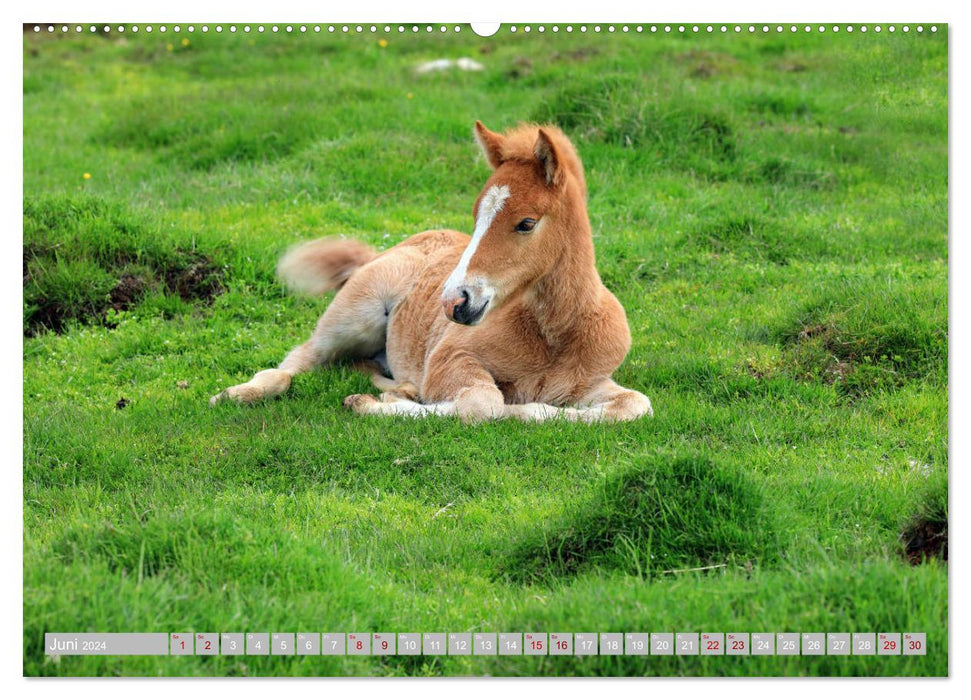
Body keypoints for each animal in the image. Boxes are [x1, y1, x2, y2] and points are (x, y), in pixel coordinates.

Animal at [211, 120, 652, 422]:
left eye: (526, 223)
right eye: (475, 216)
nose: (454, 302)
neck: (554, 335)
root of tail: (389, 247)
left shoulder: (590, 382)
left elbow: (635, 405)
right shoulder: (450, 358)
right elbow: (484, 404)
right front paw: (367, 405)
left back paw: (399, 388)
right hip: (352, 318)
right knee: (297, 360)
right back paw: (237, 394)